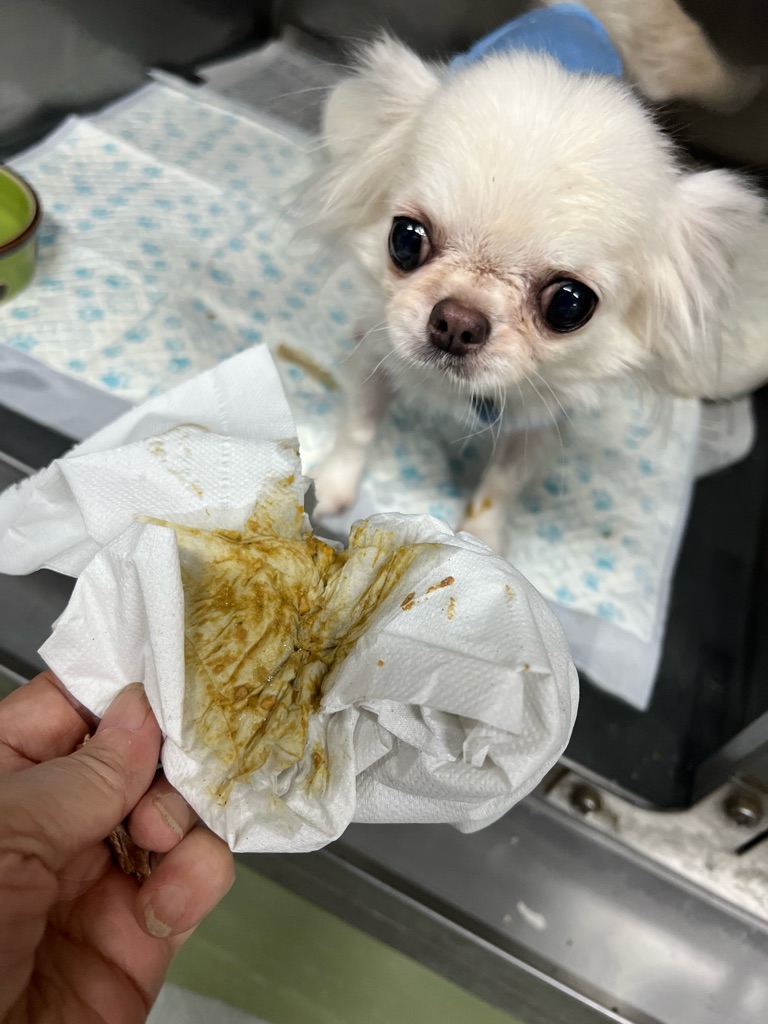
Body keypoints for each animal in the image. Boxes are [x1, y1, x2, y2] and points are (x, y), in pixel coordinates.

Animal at [310, 5, 768, 553]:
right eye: (405, 239)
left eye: (569, 304)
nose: (457, 321)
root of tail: (587, 9)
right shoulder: (378, 353)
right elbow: (359, 423)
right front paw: (332, 485)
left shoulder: (540, 422)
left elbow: (503, 483)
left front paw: (483, 542)